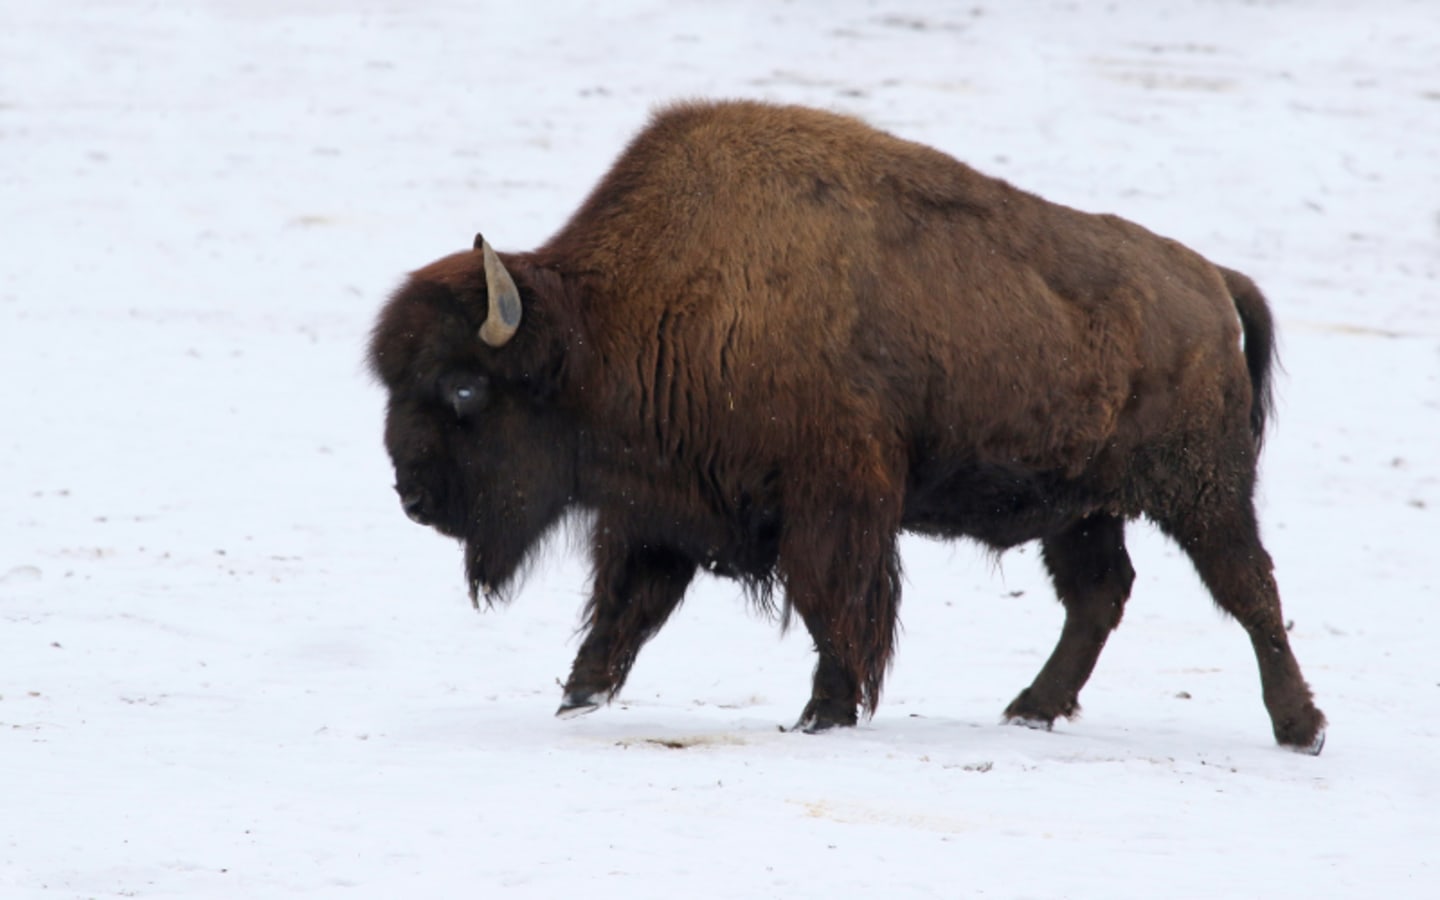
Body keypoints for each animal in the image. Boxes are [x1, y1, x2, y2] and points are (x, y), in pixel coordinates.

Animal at [368, 99, 1325, 753]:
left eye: (463, 389)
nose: (411, 497)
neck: (609, 322)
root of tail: (1211, 279)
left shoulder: (834, 500)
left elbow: (832, 600)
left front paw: (824, 713)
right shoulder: (659, 511)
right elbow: (626, 609)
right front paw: (578, 698)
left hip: (1201, 492)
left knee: (1250, 590)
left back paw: (1300, 727)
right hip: (1084, 509)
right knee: (1100, 595)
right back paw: (1029, 710)